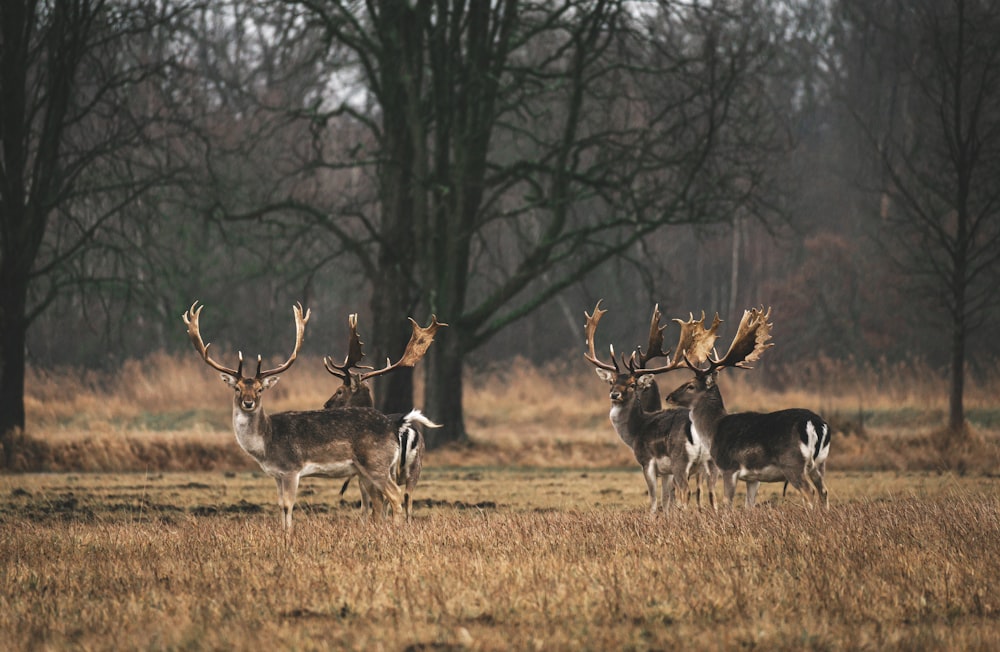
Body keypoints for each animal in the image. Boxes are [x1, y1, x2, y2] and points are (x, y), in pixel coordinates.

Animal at [182, 304, 424, 532]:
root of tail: (394, 426)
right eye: (237, 389)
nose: (248, 403)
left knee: (395, 496)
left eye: (260, 389)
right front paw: (282, 533)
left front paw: (289, 536)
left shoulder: (291, 469)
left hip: (376, 463)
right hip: (370, 470)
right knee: (387, 499)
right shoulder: (277, 475)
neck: (266, 443)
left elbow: (289, 505)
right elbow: (281, 506)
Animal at [324, 314, 446, 524]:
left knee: (387, 498)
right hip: (416, 467)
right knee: (408, 498)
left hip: (383, 467)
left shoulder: (363, 476)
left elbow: (368, 505)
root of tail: (404, 428)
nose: (326, 405)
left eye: (339, 391)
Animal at [584, 300, 720, 516]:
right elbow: (666, 500)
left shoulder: (647, 461)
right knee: (712, 494)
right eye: (611, 382)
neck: (635, 431)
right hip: (709, 462)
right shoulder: (666, 471)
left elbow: (655, 499)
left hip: (681, 460)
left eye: (632, 384)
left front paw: (652, 518)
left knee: (686, 493)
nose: (614, 395)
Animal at [664, 306, 836, 510]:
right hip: (820, 463)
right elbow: (749, 505)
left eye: (690, 386)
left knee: (809, 492)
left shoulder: (729, 467)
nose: (669, 396)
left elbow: (727, 503)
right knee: (824, 491)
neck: (713, 430)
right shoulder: (753, 478)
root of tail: (816, 424)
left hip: (793, 463)